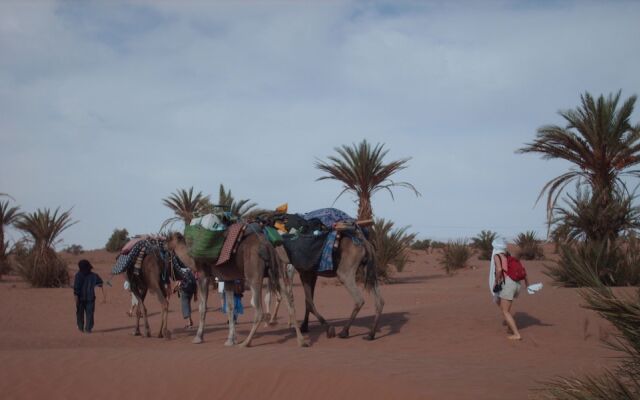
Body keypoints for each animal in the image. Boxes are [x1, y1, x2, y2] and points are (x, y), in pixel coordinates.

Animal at [164, 231, 306, 346]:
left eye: (167, 239)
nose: (164, 246)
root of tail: (266, 244)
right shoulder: (228, 280)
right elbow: (230, 308)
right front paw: (230, 340)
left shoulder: (203, 276)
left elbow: (202, 307)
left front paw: (198, 337)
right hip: (278, 270)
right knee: (289, 302)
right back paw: (301, 340)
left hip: (254, 274)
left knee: (259, 309)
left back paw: (247, 342)